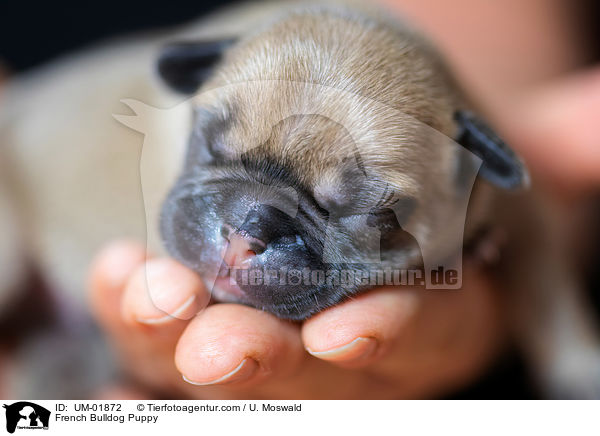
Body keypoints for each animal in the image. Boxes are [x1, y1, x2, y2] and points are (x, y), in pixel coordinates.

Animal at [0, 0, 596, 398]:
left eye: (372, 213)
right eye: (208, 141)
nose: (246, 233)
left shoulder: (524, 207)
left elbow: (546, 282)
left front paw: (576, 362)